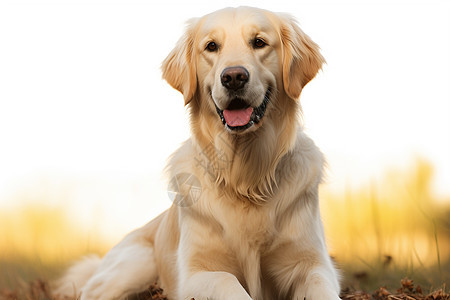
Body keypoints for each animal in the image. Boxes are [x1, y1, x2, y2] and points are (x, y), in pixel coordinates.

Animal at [52, 5, 342, 298]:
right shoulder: (195, 274)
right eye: (211, 46)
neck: (245, 180)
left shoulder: (313, 264)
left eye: (259, 42)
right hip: (135, 263)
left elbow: (320, 285)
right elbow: (227, 280)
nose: (233, 77)